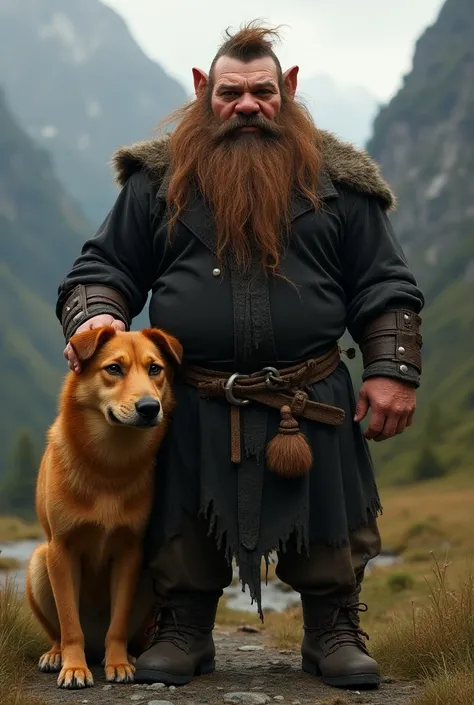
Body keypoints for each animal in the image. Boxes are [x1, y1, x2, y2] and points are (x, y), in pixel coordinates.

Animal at [25, 326, 183, 688]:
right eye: (114, 368)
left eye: (155, 369)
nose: (149, 407)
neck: (109, 465)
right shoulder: (61, 551)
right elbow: (70, 624)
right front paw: (74, 667)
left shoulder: (129, 554)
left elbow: (119, 623)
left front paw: (119, 663)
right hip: (39, 563)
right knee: (58, 632)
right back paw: (56, 655)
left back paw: (131, 655)